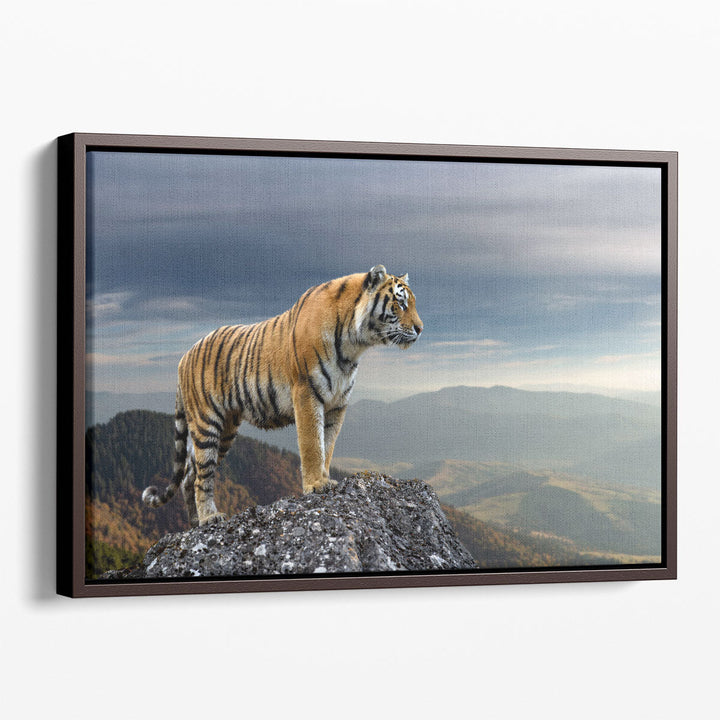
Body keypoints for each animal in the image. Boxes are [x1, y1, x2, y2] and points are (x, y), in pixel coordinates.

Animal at [142, 265, 423, 527]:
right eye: (399, 303)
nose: (420, 329)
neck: (354, 345)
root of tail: (183, 357)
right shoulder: (307, 393)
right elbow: (312, 444)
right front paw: (316, 485)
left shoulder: (337, 404)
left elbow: (328, 445)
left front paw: (325, 478)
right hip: (206, 423)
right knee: (202, 477)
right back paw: (210, 517)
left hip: (226, 430)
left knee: (190, 476)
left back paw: (194, 523)